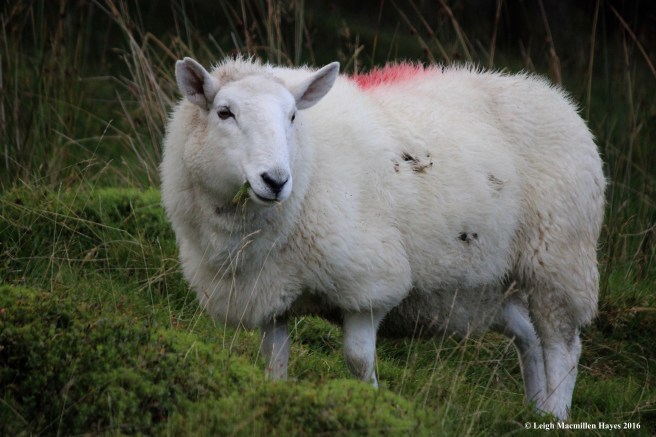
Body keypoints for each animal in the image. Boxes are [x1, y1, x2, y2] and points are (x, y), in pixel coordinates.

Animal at [160, 57, 605, 420]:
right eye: (224, 112)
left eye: (292, 116)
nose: (275, 180)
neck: (310, 164)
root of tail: (555, 97)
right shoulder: (268, 292)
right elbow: (274, 361)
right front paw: (275, 400)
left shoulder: (369, 281)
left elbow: (358, 360)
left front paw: (374, 408)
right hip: (492, 282)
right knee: (529, 337)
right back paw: (536, 411)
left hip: (558, 258)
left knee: (562, 346)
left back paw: (556, 416)